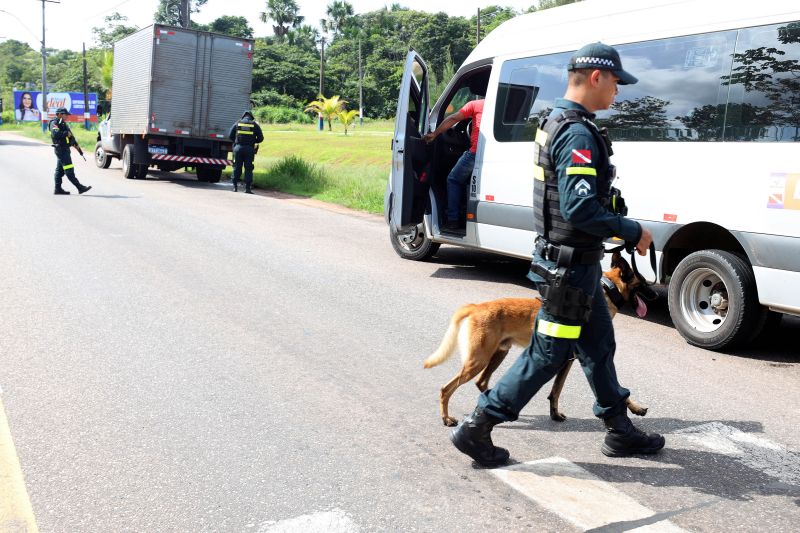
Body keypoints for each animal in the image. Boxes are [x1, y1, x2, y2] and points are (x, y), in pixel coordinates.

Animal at [422, 251, 652, 426]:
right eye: (643, 284)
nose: (657, 296)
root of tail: (477, 307)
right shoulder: (585, 359)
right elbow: (612, 385)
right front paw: (635, 407)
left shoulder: (567, 362)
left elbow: (556, 391)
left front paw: (554, 414)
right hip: (478, 360)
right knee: (447, 388)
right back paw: (447, 418)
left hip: (497, 354)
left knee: (482, 382)